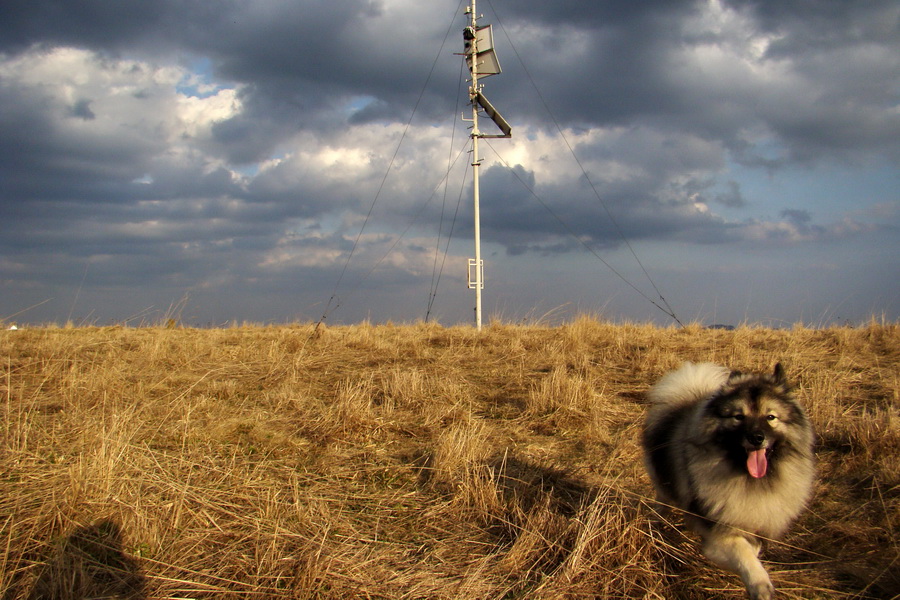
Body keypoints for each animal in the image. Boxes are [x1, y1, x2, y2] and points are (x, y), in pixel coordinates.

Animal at [640, 364, 816, 596]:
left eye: (770, 417)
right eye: (738, 417)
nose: (756, 438)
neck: (748, 478)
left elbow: (753, 548)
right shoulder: (719, 532)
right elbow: (743, 553)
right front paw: (760, 585)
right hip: (663, 487)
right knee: (663, 504)